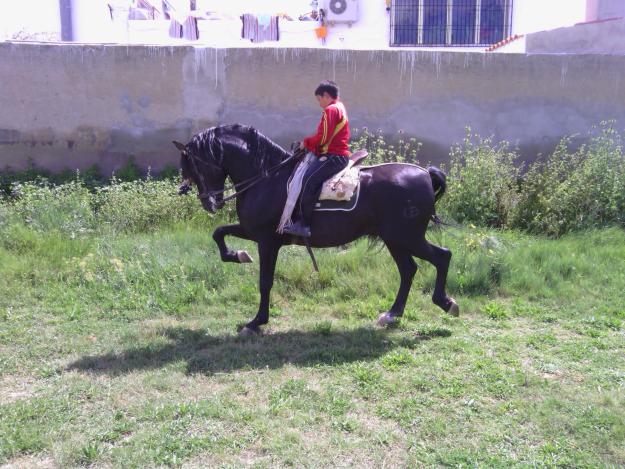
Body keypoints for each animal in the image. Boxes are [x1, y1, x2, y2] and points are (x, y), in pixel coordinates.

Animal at [173, 123, 456, 332]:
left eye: (193, 165)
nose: (210, 202)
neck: (266, 178)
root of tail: (424, 174)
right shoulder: (254, 232)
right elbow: (218, 233)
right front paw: (239, 255)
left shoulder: (266, 240)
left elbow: (265, 281)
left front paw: (256, 322)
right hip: (395, 239)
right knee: (408, 270)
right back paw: (393, 314)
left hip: (406, 237)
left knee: (442, 257)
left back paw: (446, 302)